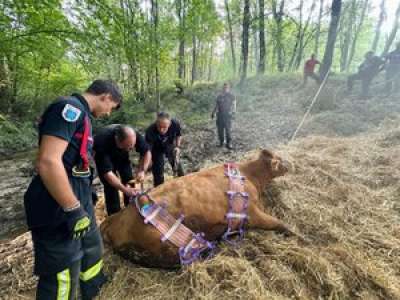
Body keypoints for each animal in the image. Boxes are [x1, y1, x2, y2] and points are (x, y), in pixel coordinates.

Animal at [101, 149, 296, 268]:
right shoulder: (252, 213)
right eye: (279, 160)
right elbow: (280, 224)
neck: (250, 176)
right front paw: (298, 236)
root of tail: (114, 219)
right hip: (162, 246)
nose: (290, 166)